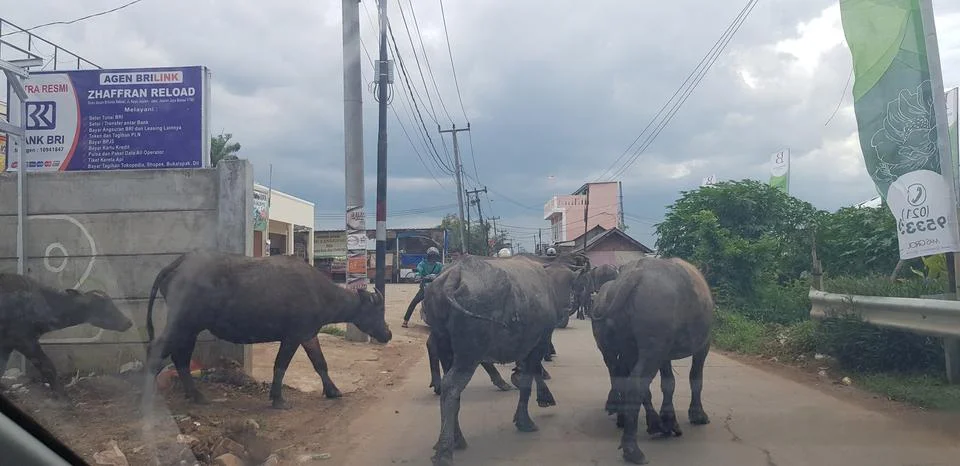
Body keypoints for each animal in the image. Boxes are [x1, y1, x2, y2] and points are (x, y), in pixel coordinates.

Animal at [0, 273, 132, 395]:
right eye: (104, 306)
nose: (128, 322)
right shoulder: (25, 341)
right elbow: (47, 365)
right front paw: (60, 394)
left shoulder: (7, 345)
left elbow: (2, 366)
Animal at [144, 251, 392, 409]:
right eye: (378, 311)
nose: (387, 334)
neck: (319, 292)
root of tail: (179, 264)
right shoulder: (292, 336)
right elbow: (280, 365)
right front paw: (278, 399)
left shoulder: (308, 335)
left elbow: (320, 363)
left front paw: (333, 391)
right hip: (183, 323)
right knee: (158, 349)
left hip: (190, 328)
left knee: (180, 357)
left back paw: (195, 395)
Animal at [423, 253, 581, 466]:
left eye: (570, 283)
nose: (567, 304)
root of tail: (454, 275)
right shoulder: (539, 342)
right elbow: (529, 378)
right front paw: (526, 418)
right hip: (468, 355)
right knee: (451, 387)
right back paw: (445, 451)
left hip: (445, 346)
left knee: (452, 393)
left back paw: (456, 438)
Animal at [589, 257, 713, 465]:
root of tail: (635, 275)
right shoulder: (703, 346)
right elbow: (695, 378)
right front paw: (697, 414)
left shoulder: (665, 355)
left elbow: (668, 383)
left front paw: (670, 418)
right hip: (653, 350)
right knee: (635, 384)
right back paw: (633, 448)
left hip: (631, 348)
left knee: (626, 379)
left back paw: (643, 421)